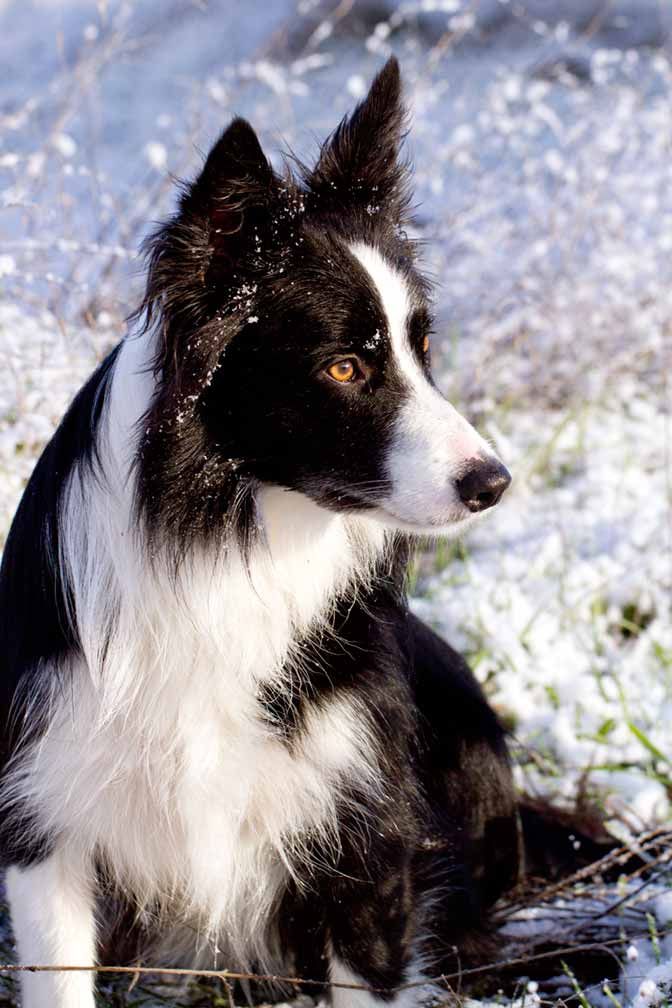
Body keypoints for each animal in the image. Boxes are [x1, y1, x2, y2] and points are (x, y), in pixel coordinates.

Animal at [0, 57, 519, 1008]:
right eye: (345, 367)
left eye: (424, 349)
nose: (492, 484)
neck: (233, 537)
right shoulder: (46, 815)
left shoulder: (364, 827)